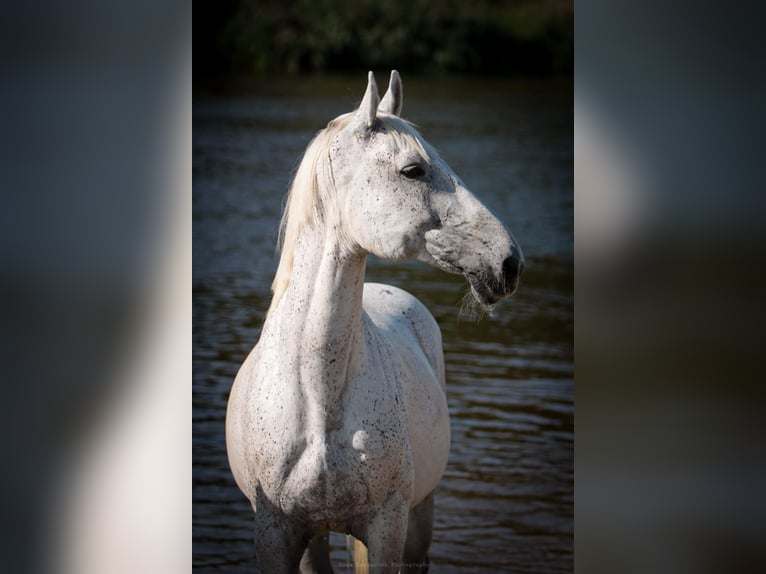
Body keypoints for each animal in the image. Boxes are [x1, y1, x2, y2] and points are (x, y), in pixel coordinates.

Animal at [225, 72, 524, 574]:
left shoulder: (387, 526)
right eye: (413, 170)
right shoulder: (278, 532)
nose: (509, 262)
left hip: (419, 516)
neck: (318, 397)